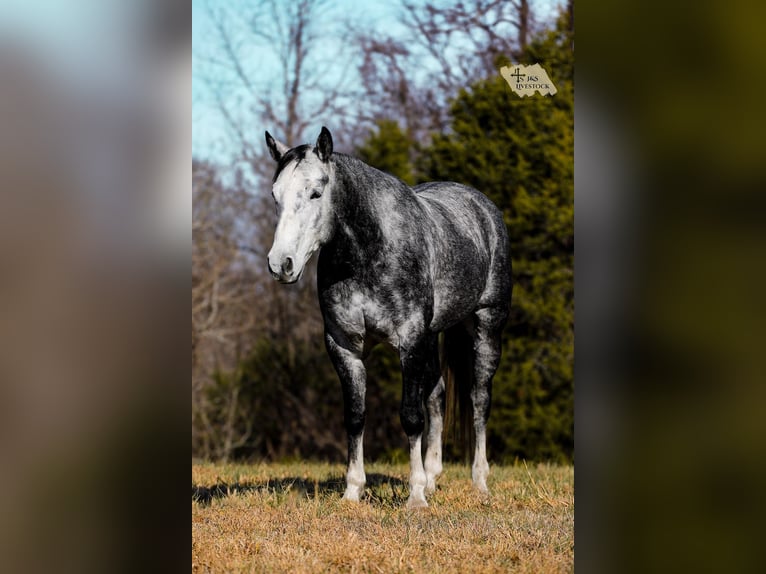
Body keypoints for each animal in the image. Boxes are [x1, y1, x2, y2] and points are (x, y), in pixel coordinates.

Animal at [265, 126, 511, 508]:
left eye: (315, 192)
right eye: (276, 195)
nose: (281, 264)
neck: (370, 251)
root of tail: (484, 209)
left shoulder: (409, 341)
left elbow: (410, 416)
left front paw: (415, 497)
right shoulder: (344, 346)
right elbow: (355, 417)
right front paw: (353, 492)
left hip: (487, 325)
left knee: (479, 399)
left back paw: (479, 483)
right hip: (432, 337)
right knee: (437, 395)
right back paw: (433, 478)